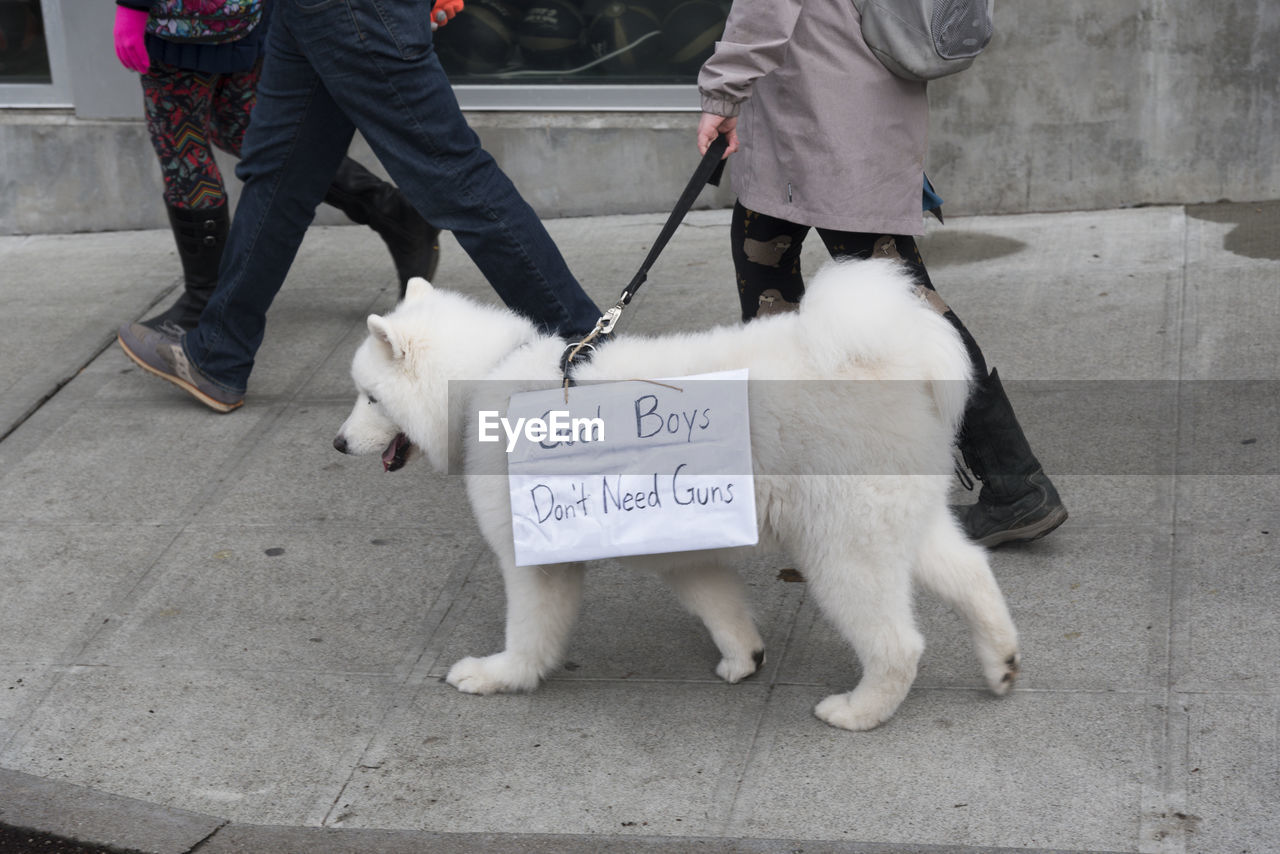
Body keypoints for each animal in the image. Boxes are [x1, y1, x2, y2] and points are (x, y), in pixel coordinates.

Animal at [332, 261, 1018, 727]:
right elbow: (717, 604)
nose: (337, 444)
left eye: (370, 398)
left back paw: (859, 711)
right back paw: (1002, 663)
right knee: (971, 573)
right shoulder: (679, 542)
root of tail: (883, 360)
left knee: (898, 643)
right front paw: (744, 658)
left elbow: (530, 632)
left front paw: (499, 676)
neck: (484, 381)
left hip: (841, 547)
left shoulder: (534, 554)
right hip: (897, 520)